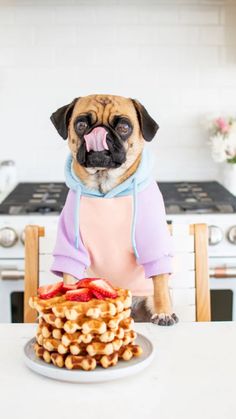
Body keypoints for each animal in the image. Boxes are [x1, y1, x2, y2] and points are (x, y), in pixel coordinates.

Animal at [50, 93, 178, 326]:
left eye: (124, 127)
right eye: (81, 125)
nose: (99, 132)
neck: (105, 189)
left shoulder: (153, 243)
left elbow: (160, 281)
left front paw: (164, 312)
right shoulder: (71, 246)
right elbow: (69, 275)